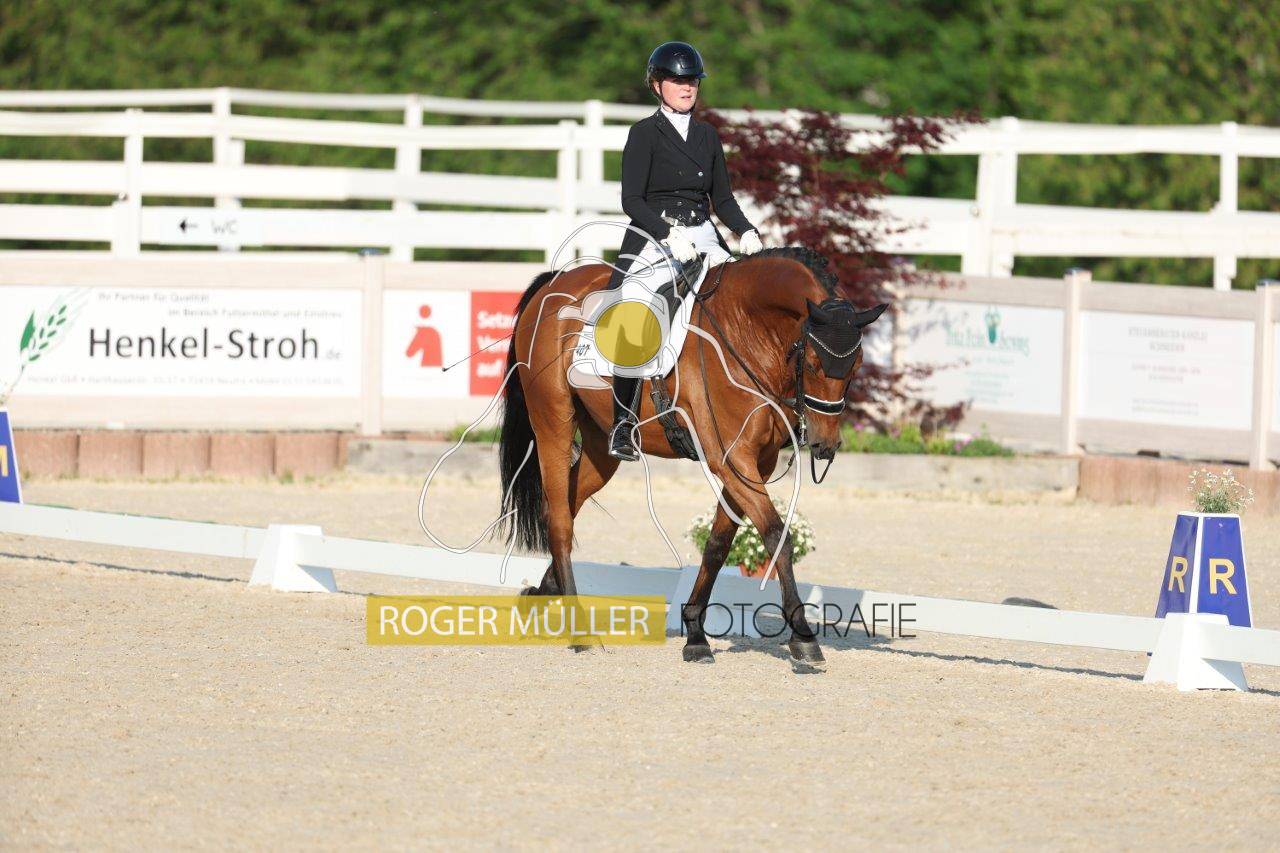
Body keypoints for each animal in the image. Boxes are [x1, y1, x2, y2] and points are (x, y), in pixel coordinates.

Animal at [497, 246, 887, 664]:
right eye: (812, 363)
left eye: (857, 364)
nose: (824, 444)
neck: (747, 329)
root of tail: (554, 283)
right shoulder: (732, 459)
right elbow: (775, 534)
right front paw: (803, 637)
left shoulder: (757, 463)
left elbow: (718, 544)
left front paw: (696, 634)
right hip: (552, 421)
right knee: (559, 519)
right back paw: (580, 632)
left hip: (602, 448)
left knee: (567, 504)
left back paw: (542, 595)